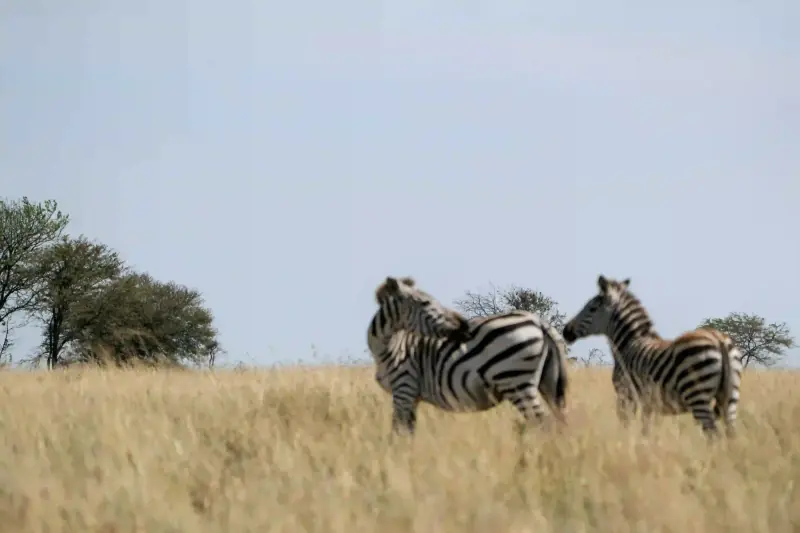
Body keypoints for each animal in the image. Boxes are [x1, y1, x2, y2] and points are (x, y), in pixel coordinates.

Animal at [368, 276, 570, 436]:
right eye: (426, 303)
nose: (463, 326)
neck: (392, 346)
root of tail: (538, 321)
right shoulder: (410, 397)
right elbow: (407, 433)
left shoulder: (404, 388)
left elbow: (397, 434)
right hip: (548, 382)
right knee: (558, 421)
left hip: (515, 381)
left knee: (542, 423)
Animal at [561, 275, 743, 438]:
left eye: (591, 308)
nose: (565, 331)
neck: (628, 343)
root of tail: (719, 339)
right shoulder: (649, 402)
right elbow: (646, 430)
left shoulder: (625, 395)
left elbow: (626, 425)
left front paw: (625, 443)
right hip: (730, 397)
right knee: (731, 434)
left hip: (697, 394)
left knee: (713, 435)